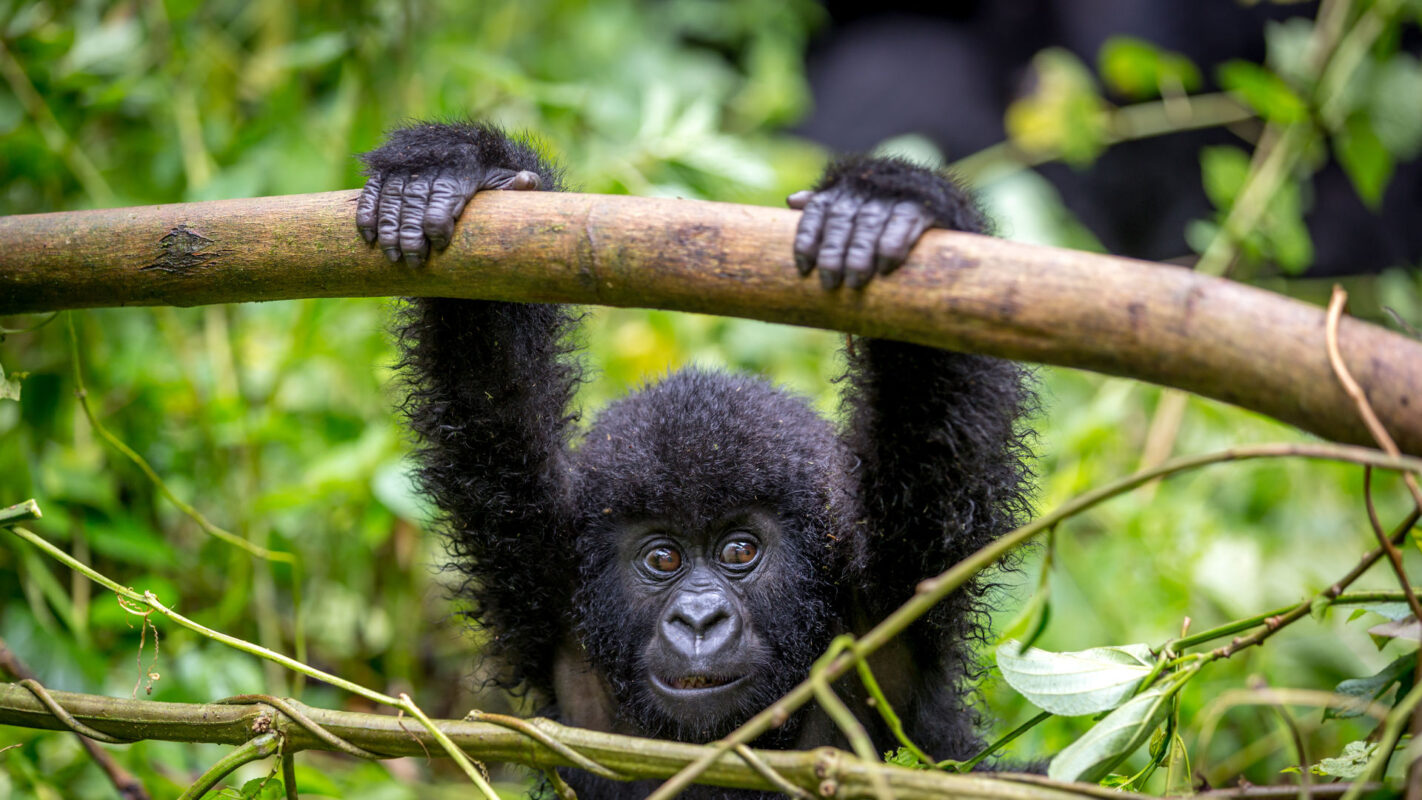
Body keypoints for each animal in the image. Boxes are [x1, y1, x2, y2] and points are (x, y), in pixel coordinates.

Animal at [358, 122, 1035, 795]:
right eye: (663, 558)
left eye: (739, 550)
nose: (700, 619)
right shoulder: (541, 570)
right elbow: (489, 391)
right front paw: (454, 170)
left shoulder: (897, 582)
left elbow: (935, 414)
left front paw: (888, 202)